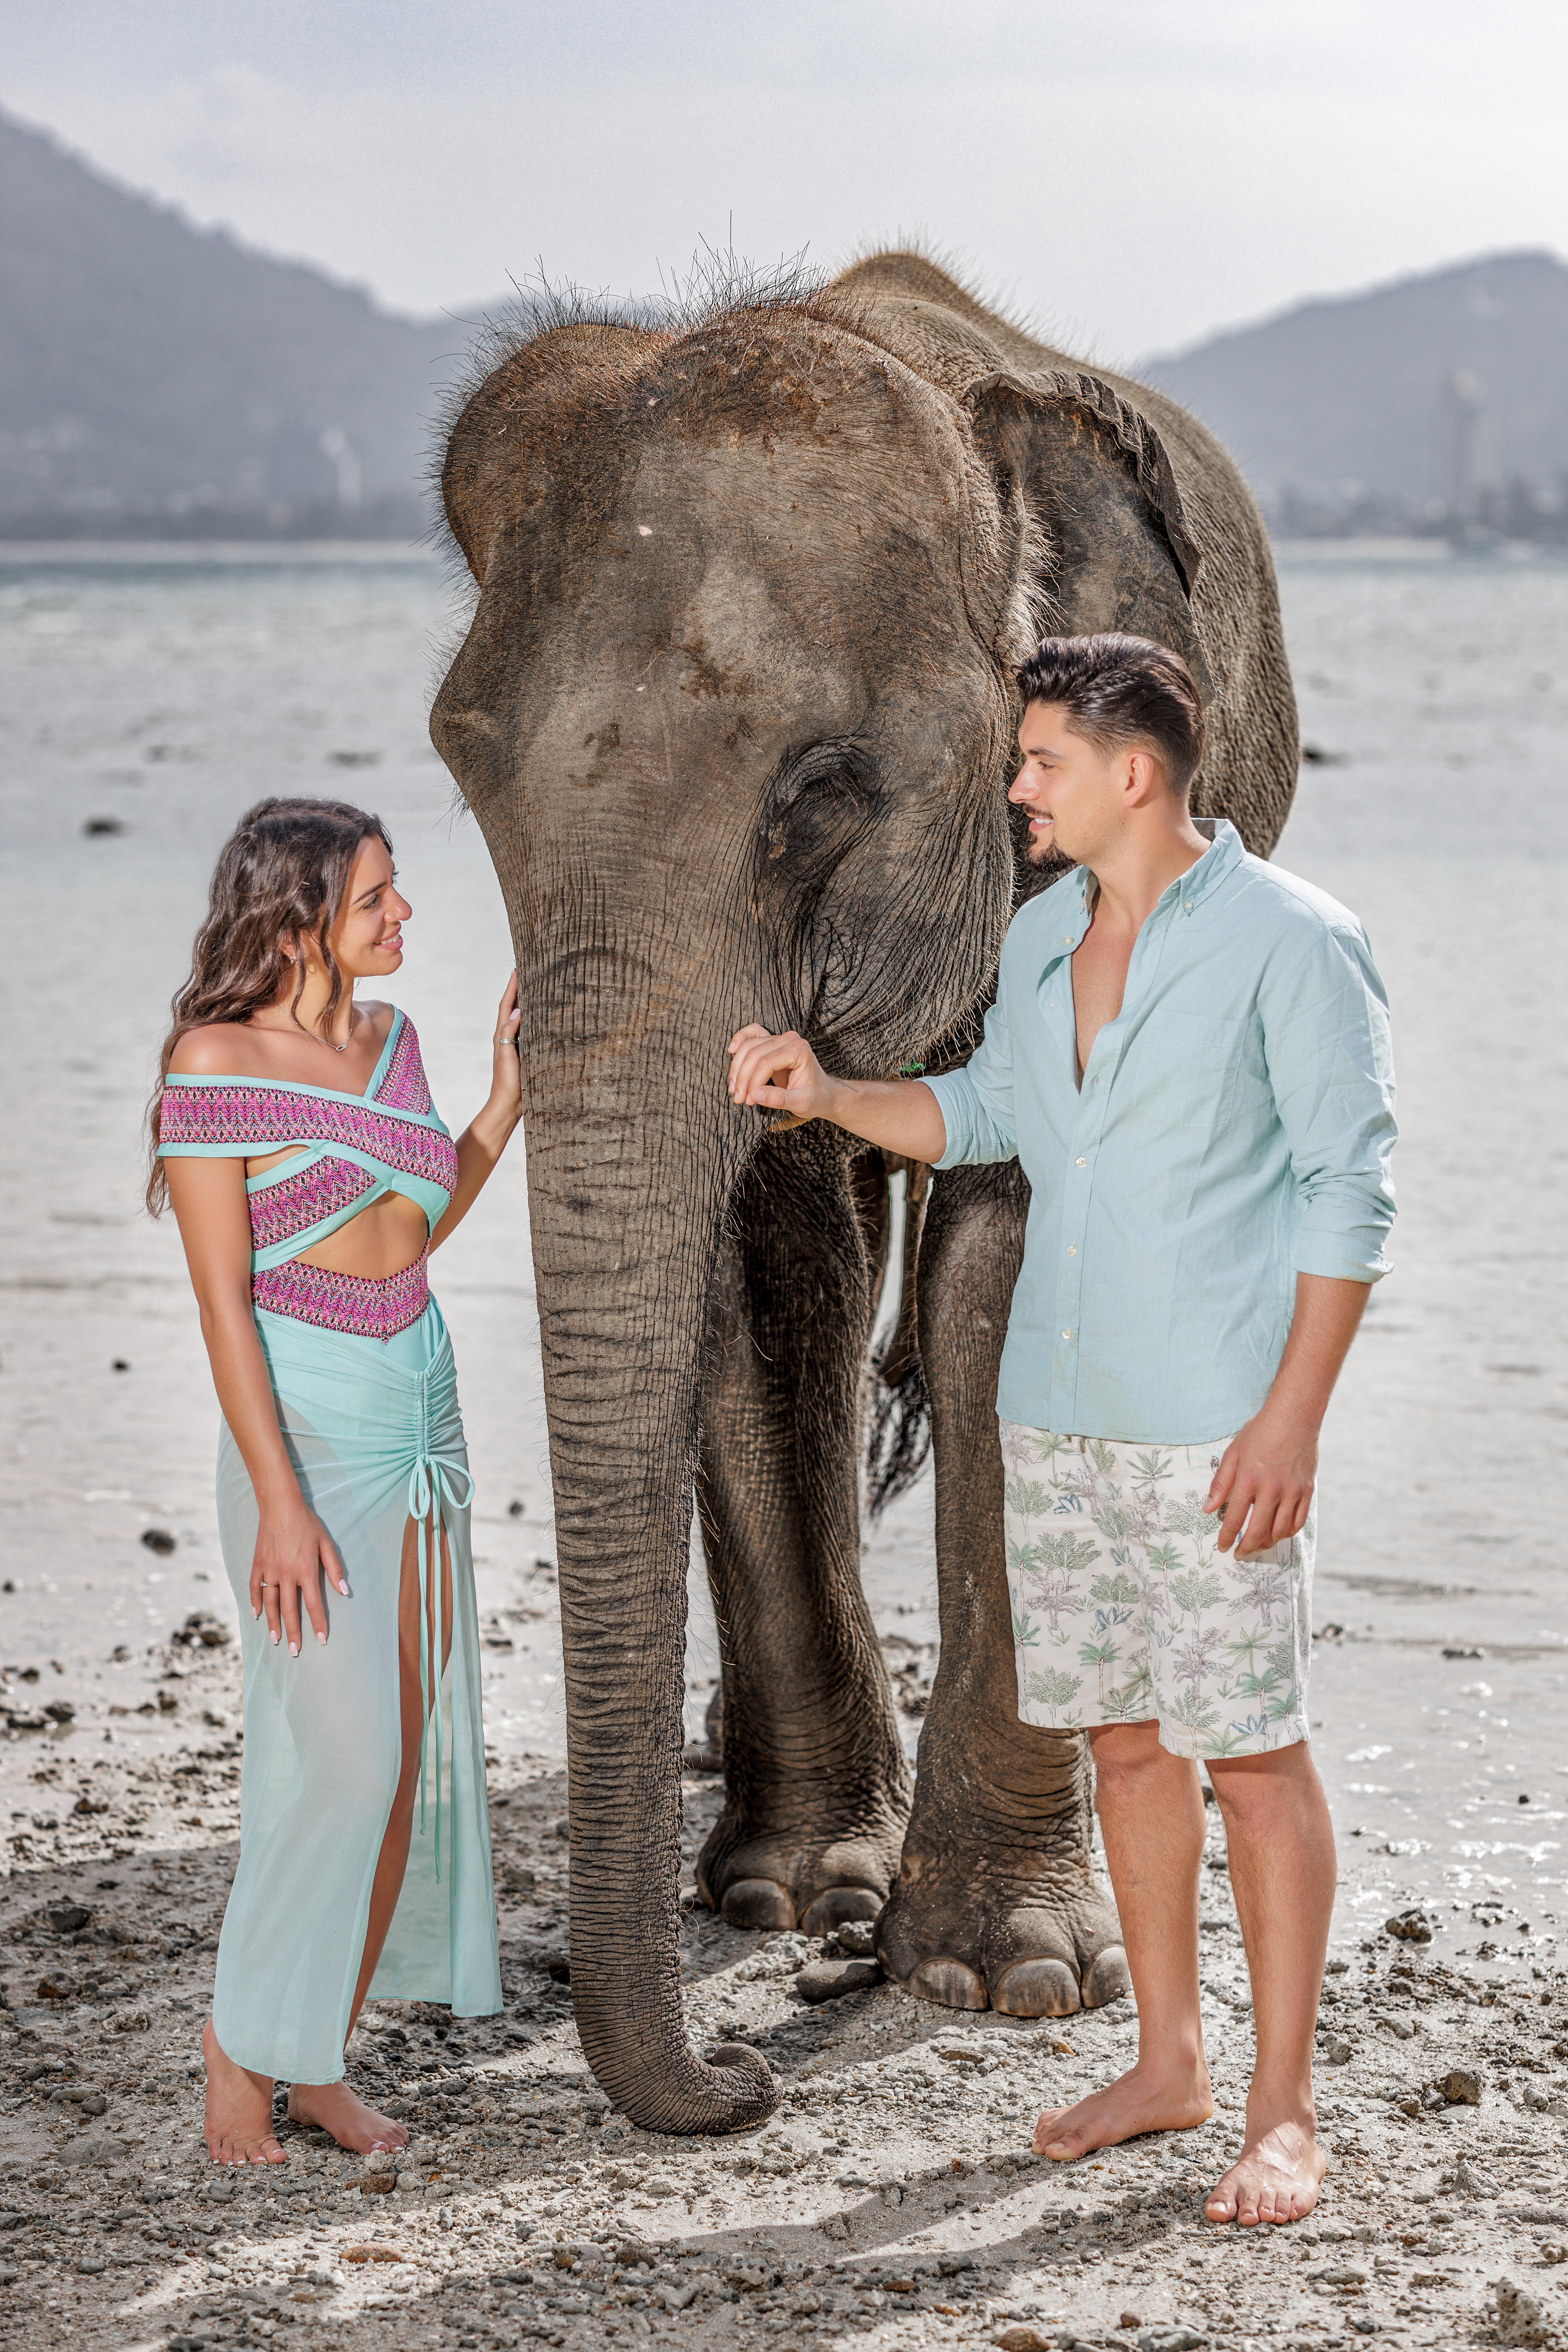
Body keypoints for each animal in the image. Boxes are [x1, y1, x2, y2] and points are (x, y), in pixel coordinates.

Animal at [430, 249, 1298, 2136]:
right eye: (460, 764)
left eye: (819, 792)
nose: (741, 2079)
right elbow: (768, 1284)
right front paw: (791, 1896)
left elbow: (1009, 1275)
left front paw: (1001, 1975)